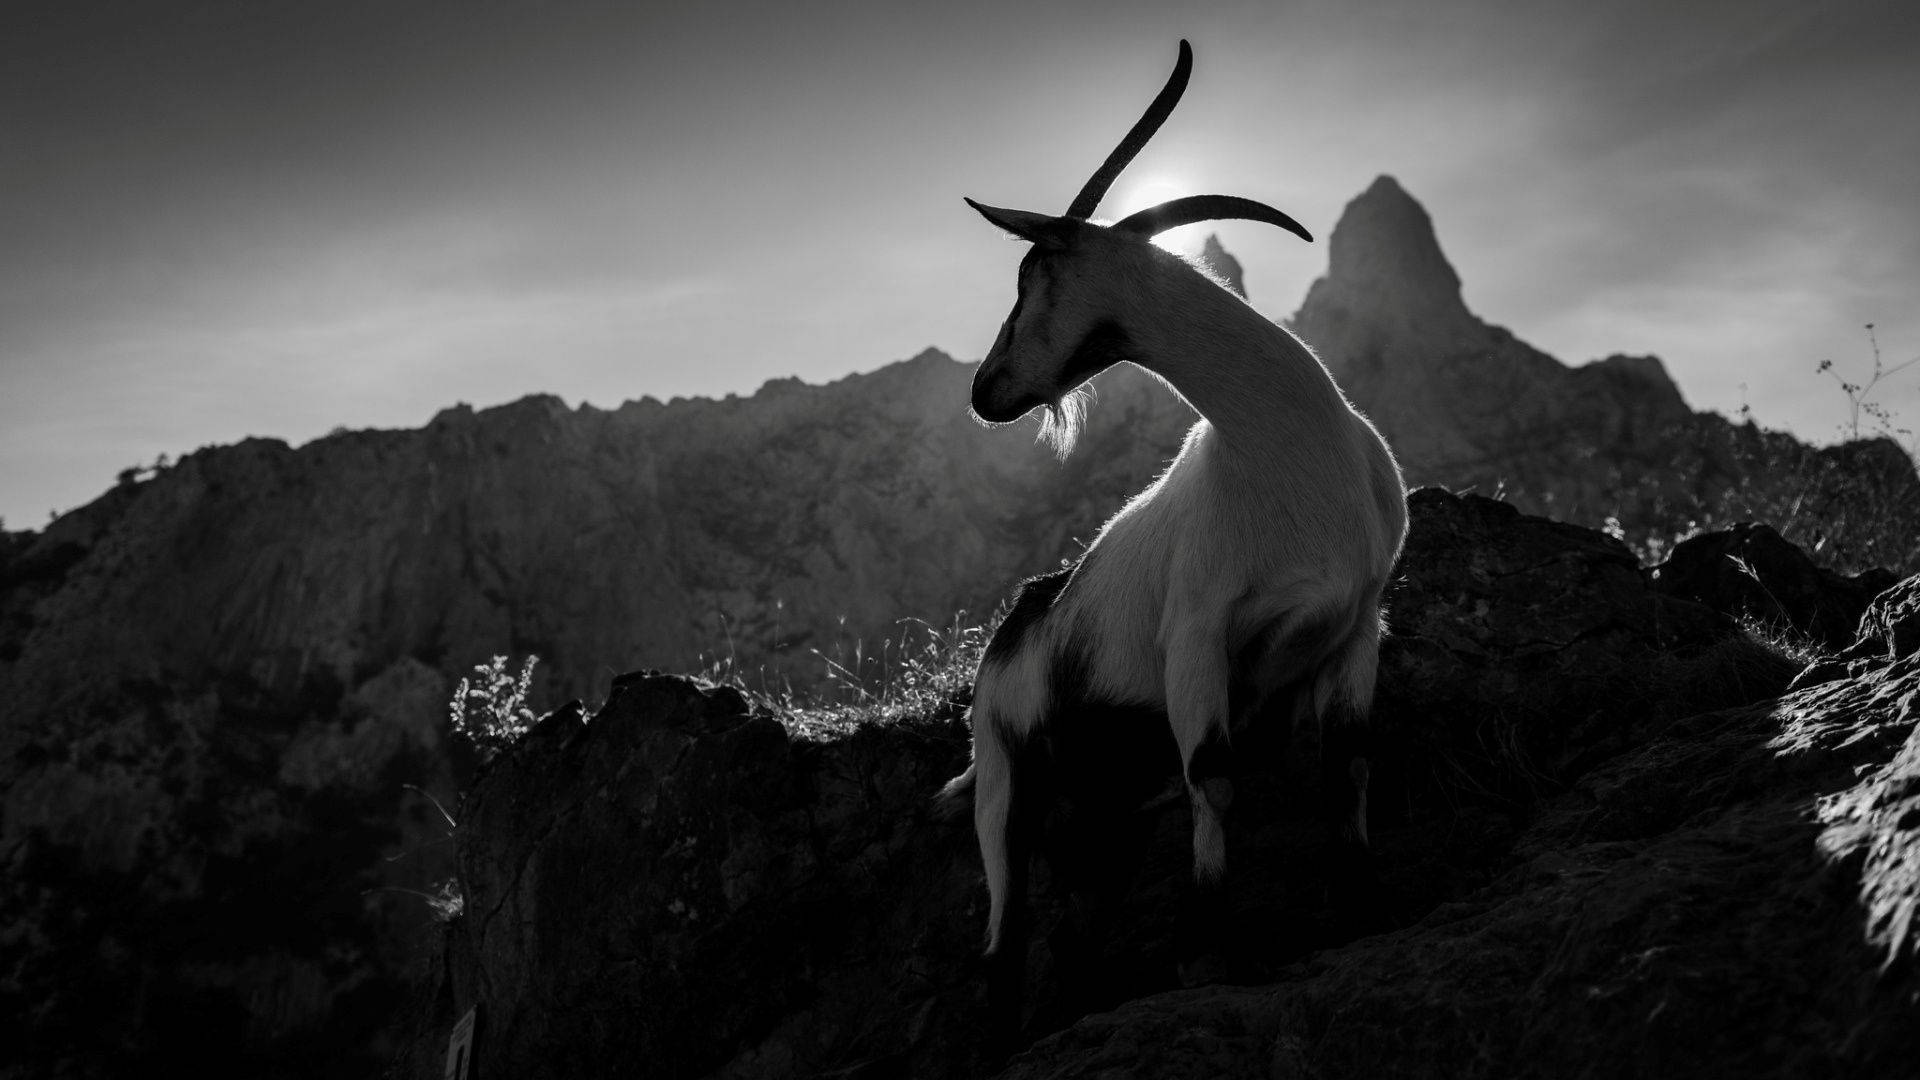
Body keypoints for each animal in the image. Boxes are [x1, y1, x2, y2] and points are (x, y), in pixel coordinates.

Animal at [939, 40, 1409, 1039]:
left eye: (1029, 278)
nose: (986, 390)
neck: (1280, 452)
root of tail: (1018, 623)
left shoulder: (1356, 627)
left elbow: (1346, 764)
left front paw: (1362, 909)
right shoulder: (1197, 636)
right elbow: (1216, 780)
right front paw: (1207, 957)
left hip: (1104, 808)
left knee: (1078, 924)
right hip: (1003, 778)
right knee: (1004, 935)